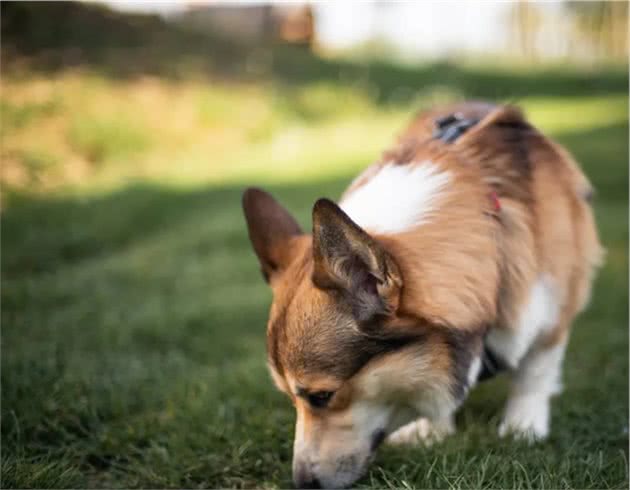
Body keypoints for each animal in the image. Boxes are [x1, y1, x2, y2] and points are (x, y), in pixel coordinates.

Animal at [241, 101, 604, 488]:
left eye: (322, 396)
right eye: (289, 398)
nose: (302, 482)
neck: (489, 232)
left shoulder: (552, 309)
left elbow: (534, 371)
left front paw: (523, 429)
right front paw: (431, 432)